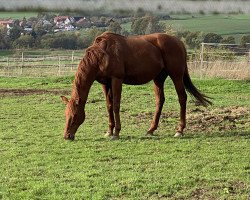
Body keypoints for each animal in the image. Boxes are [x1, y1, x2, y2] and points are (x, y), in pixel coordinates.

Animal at [61, 32, 211, 140]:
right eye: (65, 115)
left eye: (74, 116)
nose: (67, 136)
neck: (102, 54)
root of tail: (179, 42)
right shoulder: (105, 83)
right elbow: (109, 106)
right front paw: (109, 131)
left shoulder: (116, 80)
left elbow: (116, 105)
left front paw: (116, 133)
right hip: (158, 78)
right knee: (160, 100)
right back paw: (151, 129)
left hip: (176, 75)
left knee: (182, 98)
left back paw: (179, 130)